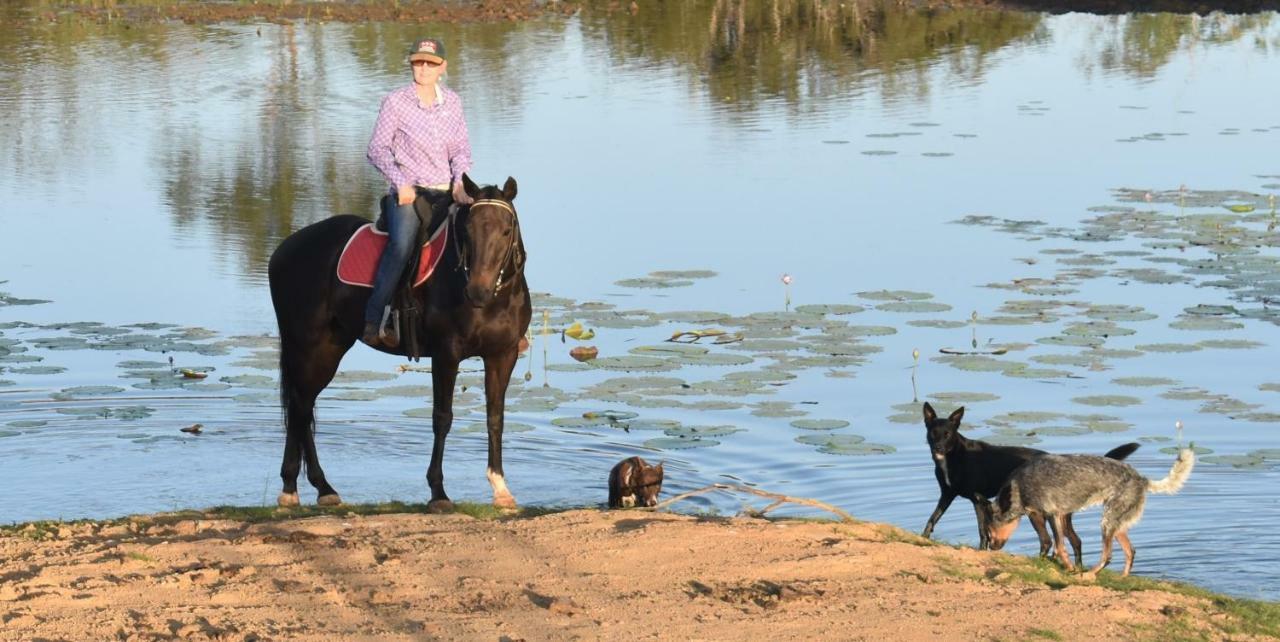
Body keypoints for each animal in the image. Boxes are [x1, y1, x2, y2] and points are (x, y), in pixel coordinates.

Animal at [267, 173, 532, 511]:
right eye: (468, 229)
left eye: (506, 229)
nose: (478, 291)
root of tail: (285, 248)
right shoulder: (447, 354)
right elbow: (442, 418)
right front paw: (438, 493)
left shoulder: (502, 355)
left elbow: (495, 418)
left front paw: (501, 489)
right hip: (307, 345)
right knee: (300, 406)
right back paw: (297, 488)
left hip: (330, 346)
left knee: (302, 405)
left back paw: (316, 488)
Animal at [921, 406, 1141, 562]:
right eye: (933, 433)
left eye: (948, 434)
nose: (938, 447)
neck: (953, 457)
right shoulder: (947, 494)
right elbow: (932, 518)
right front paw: (923, 538)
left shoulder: (976, 499)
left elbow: (982, 530)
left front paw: (982, 550)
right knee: (1075, 541)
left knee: (1067, 540)